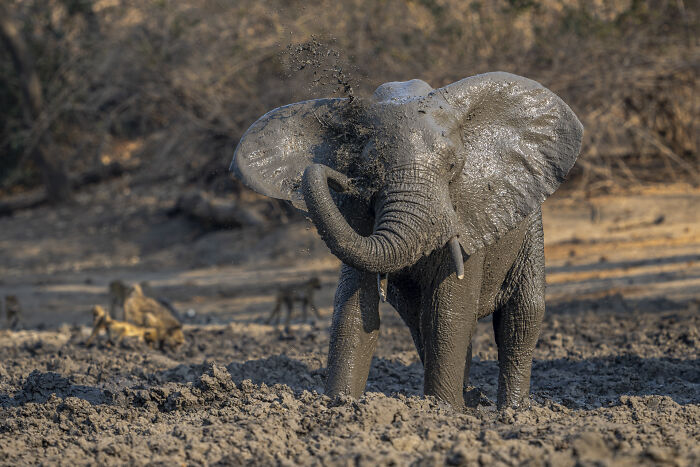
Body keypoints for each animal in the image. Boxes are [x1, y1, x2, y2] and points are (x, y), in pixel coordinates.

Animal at [231, 72, 583, 409]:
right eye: (368, 170)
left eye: (453, 166)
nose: (341, 179)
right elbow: (355, 310)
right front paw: (339, 404)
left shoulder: (469, 213)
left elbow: (449, 313)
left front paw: (442, 411)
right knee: (419, 321)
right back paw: (471, 402)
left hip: (531, 226)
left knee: (522, 316)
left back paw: (513, 411)